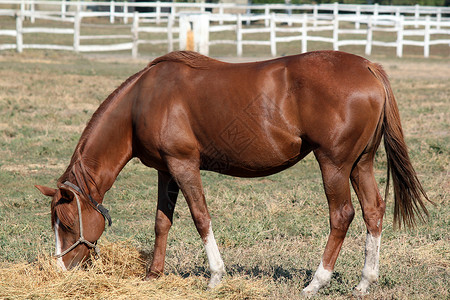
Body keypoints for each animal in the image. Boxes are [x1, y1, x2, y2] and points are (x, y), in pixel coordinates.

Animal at [35, 50, 428, 296]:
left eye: (67, 224)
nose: (61, 271)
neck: (142, 101)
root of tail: (367, 66)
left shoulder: (184, 165)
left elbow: (200, 217)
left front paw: (215, 276)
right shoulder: (166, 170)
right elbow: (162, 222)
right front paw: (153, 275)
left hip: (333, 164)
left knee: (342, 215)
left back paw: (316, 282)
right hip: (361, 163)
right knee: (373, 211)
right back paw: (364, 282)